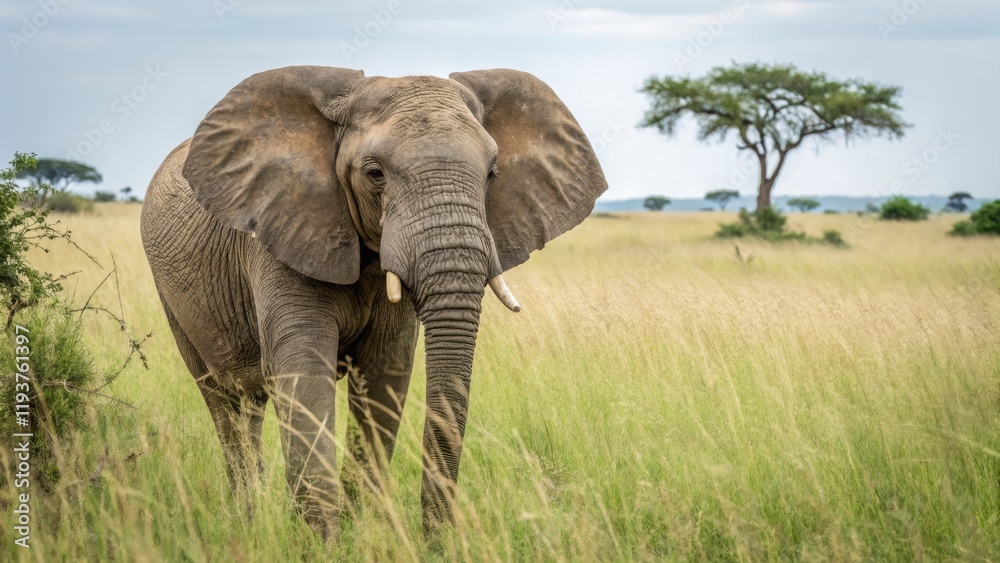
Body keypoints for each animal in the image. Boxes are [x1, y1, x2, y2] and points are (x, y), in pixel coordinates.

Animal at [140, 65, 607, 539]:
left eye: (493, 173)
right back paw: (247, 520)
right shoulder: (277, 232)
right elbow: (303, 371)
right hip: (171, 294)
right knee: (223, 400)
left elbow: (385, 374)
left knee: (248, 403)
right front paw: (323, 542)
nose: (439, 539)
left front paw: (360, 534)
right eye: (374, 173)